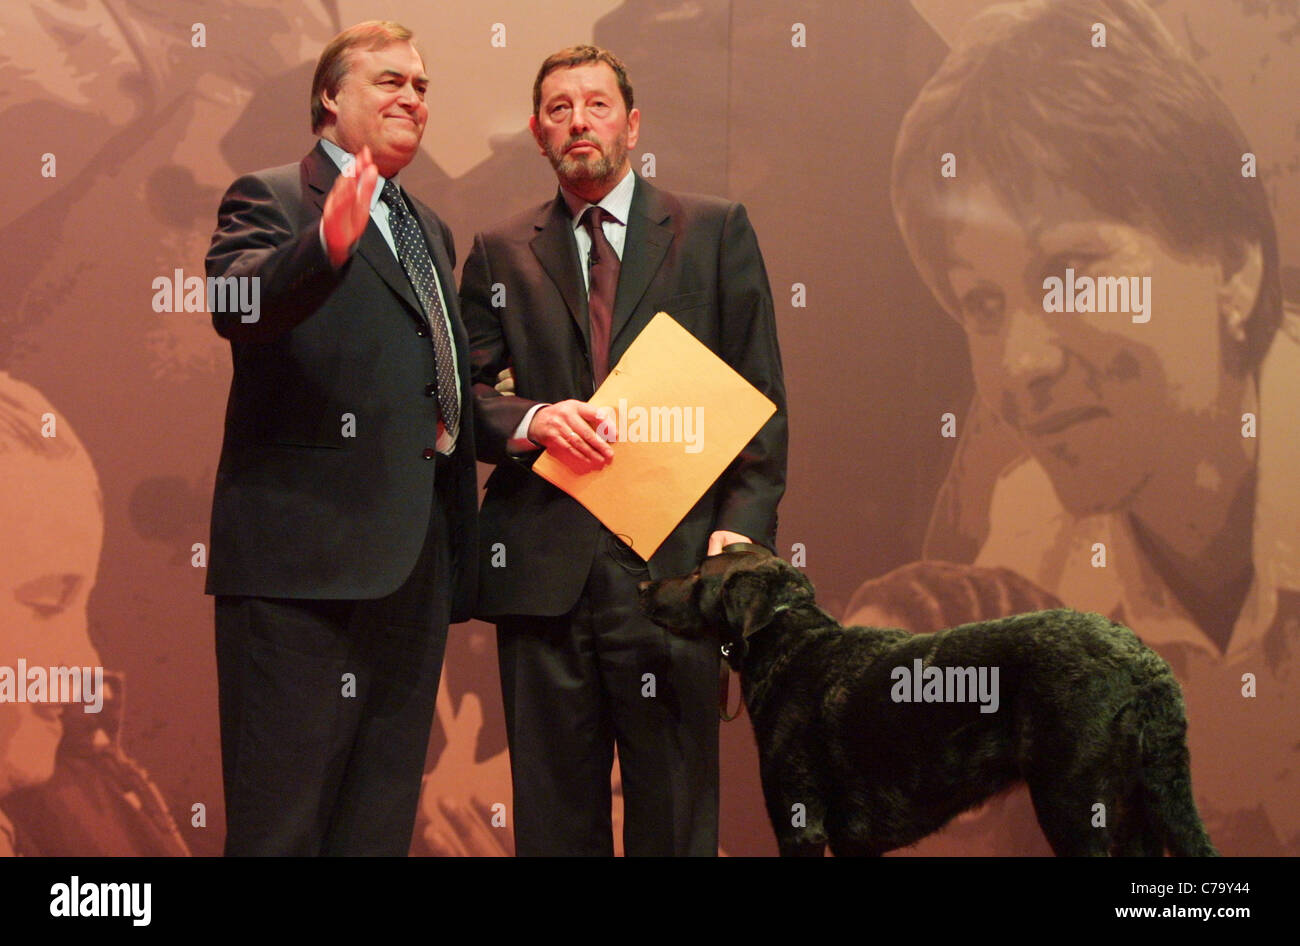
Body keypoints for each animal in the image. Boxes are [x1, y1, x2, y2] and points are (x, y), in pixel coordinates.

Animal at [639, 545, 1216, 857]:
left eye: (697, 573)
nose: (643, 587)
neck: (794, 644)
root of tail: (1147, 666)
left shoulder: (801, 824)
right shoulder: (856, 842)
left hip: (1073, 805)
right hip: (1141, 808)